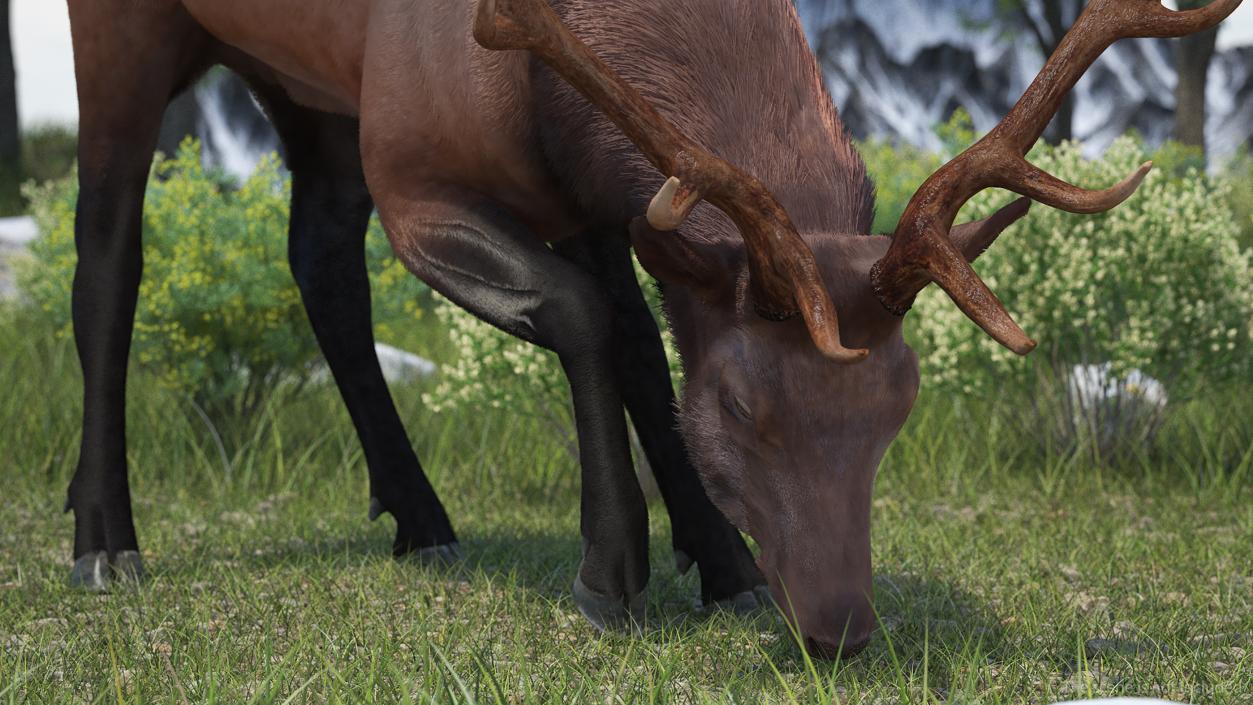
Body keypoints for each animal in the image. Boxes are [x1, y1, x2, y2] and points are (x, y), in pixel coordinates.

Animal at [66, 0, 1232, 661]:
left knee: (317, 255)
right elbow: (589, 320)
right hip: (129, 32)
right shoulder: (415, 166)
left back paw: (420, 517)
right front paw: (612, 572)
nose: (842, 629)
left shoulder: (595, 192)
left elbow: (635, 341)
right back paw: (103, 541)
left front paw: (722, 566)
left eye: (899, 402)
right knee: (107, 256)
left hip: (308, 79)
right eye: (742, 407)